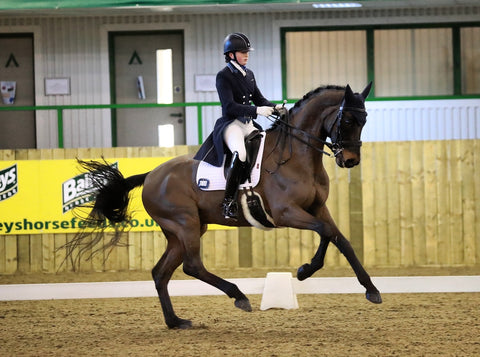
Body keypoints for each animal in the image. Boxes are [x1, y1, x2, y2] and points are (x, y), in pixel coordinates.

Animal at [73, 82, 382, 328]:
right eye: (347, 120)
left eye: (364, 120)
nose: (350, 160)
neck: (295, 156)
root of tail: (151, 175)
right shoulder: (286, 213)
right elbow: (325, 232)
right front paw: (306, 270)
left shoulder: (318, 208)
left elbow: (340, 239)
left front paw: (370, 289)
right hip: (185, 224)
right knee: (192, 266)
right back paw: (239, 296)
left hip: (181, 231)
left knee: (161, 273)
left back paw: (176, 322)